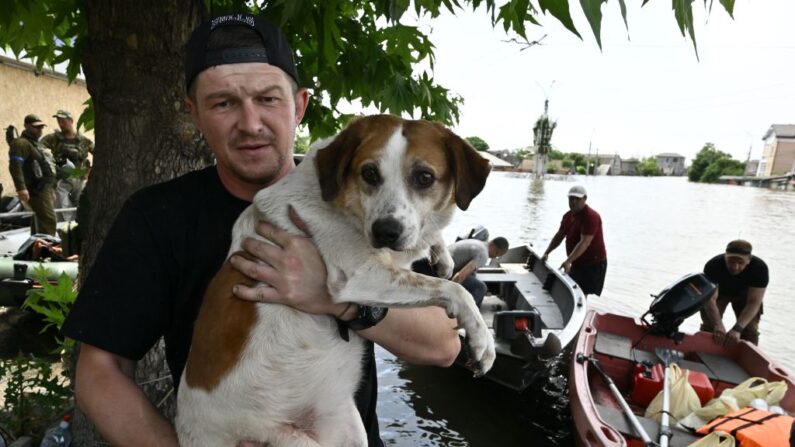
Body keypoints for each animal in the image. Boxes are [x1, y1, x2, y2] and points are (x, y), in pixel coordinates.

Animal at [177, 114, 494, 447]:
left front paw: (442, 254)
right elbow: (456, 289)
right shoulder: (360, 276)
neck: (347, 205)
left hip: (350, 430)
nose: (386, 231)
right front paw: (482, 341)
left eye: (424, 177)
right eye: (369, 173)